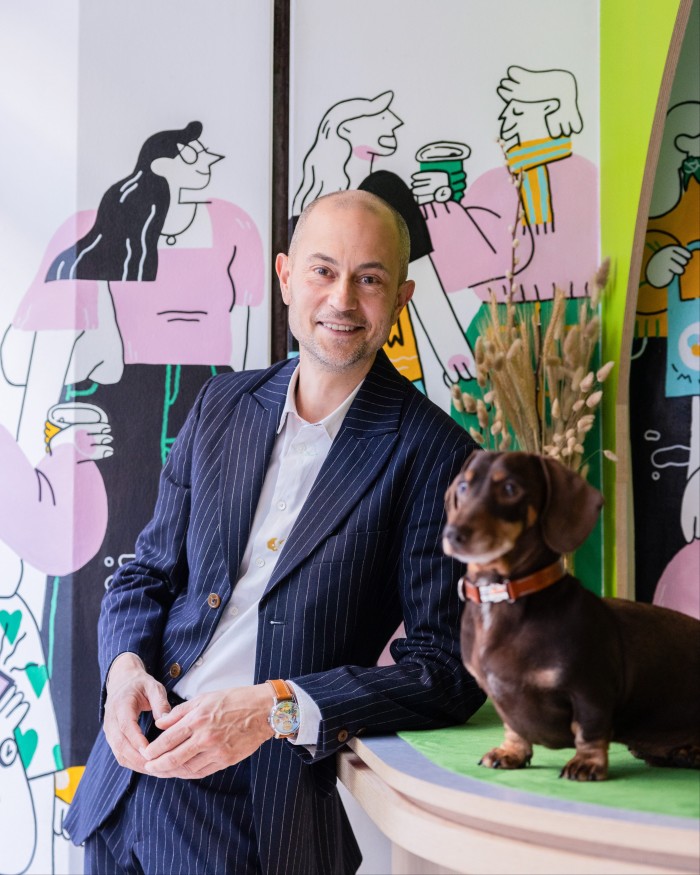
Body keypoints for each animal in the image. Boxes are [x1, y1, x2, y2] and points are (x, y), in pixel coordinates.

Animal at [442, 452, 700, 780]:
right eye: (463, 487)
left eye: (511, 489)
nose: (453, 535)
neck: (501, 595)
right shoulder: (505, 702)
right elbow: (514, 727)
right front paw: (511, 752)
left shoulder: (590, 690)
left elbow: (590, 730)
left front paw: (586, 763)